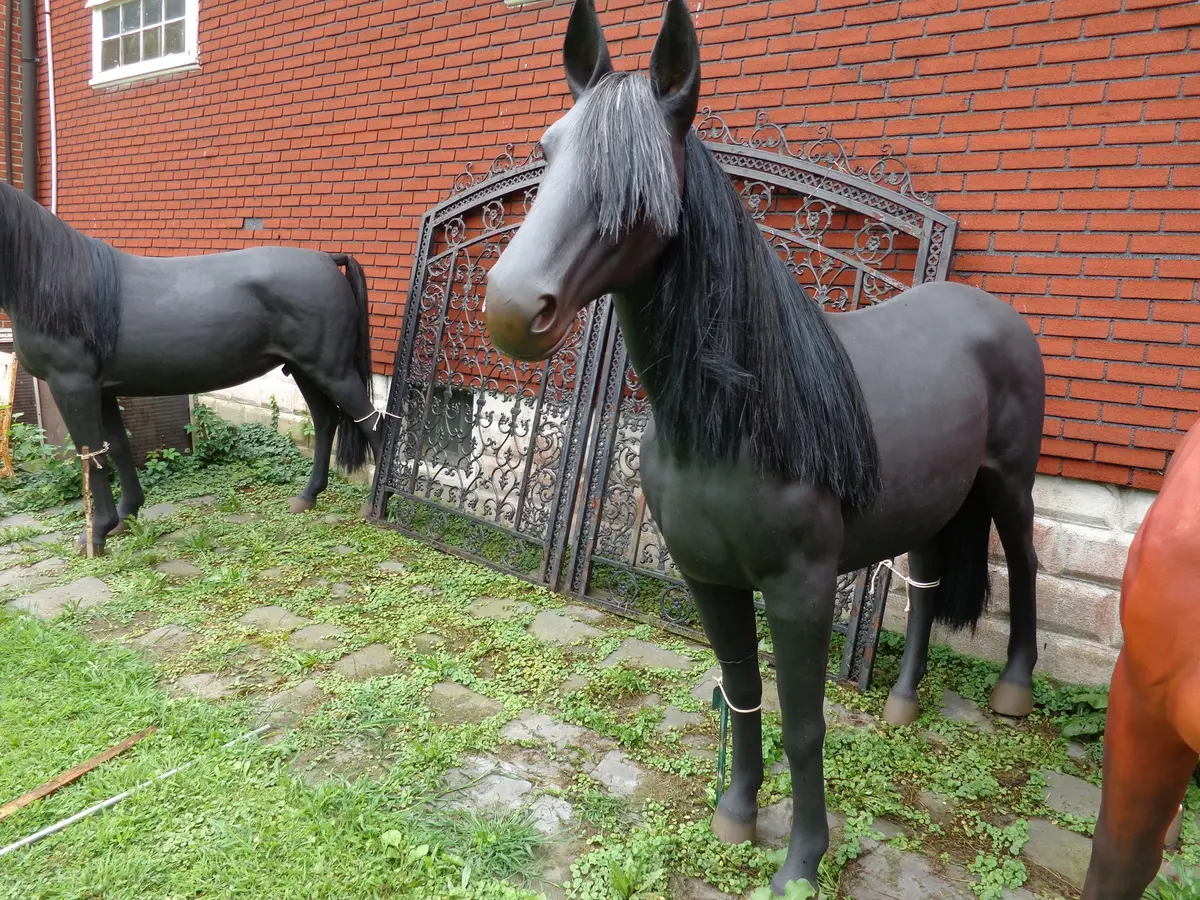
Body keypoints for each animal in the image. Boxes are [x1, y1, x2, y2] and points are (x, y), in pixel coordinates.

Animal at [0, 182, 383, 554]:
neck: (58, 286)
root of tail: (326, 259)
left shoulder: (72, 387)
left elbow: (91, 455)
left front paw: (95, 534)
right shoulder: (103, 390)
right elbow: (117, 447)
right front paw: (126, 515)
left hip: (332, 372)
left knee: (374, 424)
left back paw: (374, 507)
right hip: (305, 369)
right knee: (326, 421)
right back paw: (307, 496)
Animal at [481, 0, 1046, 891]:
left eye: (643, 178)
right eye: (548, 149)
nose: (511, 307)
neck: (732, 426)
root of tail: (994, 314)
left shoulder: (800, 588)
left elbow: (804, 721)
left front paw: (802, 862)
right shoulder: (708, 577)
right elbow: (741, 690)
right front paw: (737, 815)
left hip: (1009, 485)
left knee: (1024, 566)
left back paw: (1014, 693)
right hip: (935, 501)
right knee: (924, 586)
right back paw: (902, 704)